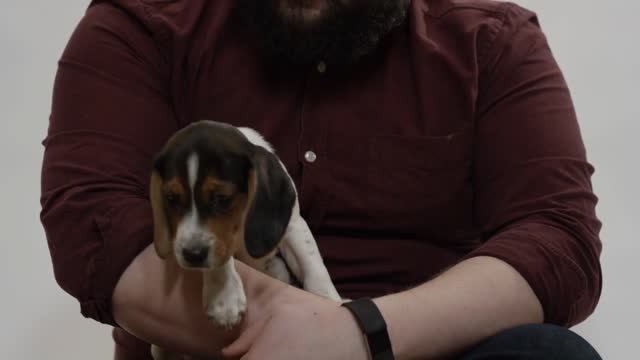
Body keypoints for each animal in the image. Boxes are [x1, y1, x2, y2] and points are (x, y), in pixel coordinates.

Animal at [149, 120, 340, 358]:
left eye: (222, 198)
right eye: (171, 198)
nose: (192, 255)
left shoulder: (293, 225)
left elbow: (313, 266)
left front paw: (330, 303)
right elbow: (222, 255)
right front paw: (224, 297)